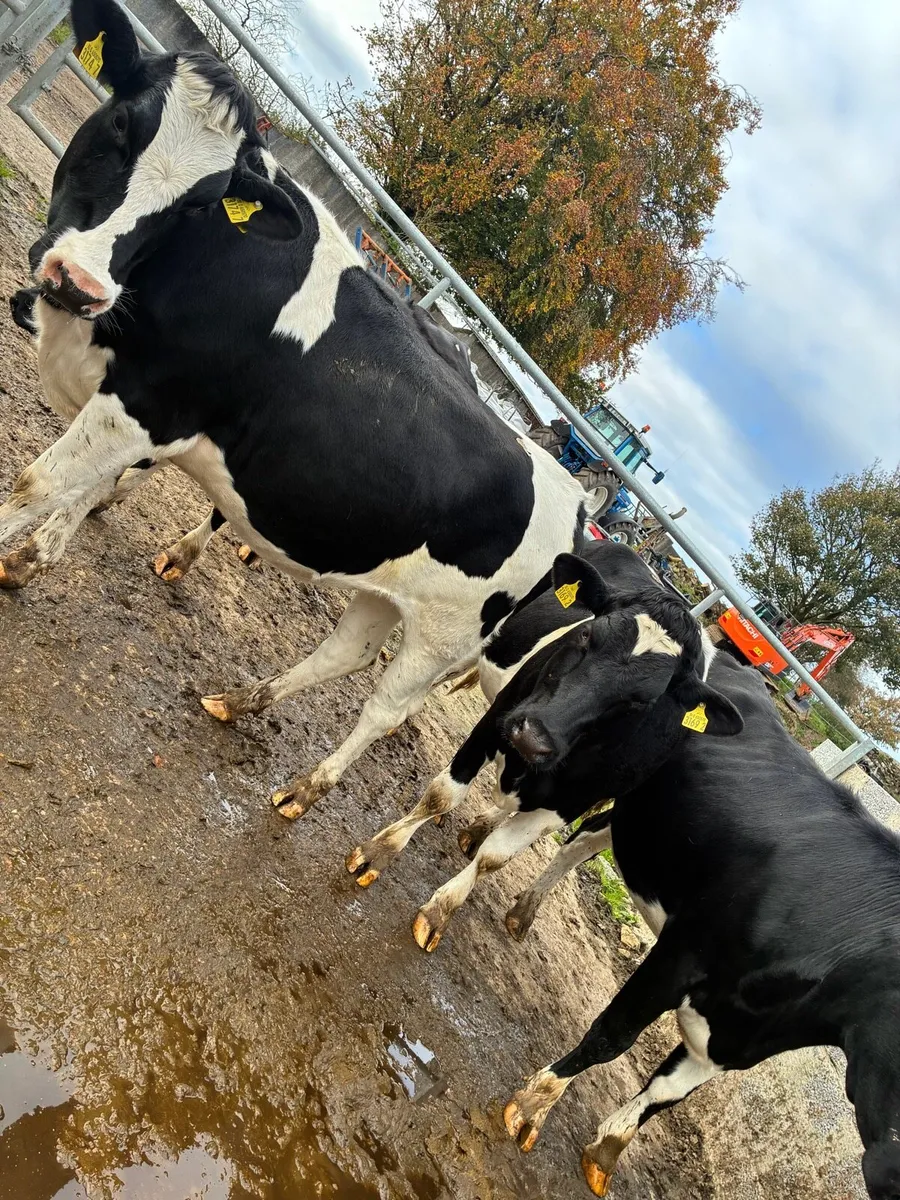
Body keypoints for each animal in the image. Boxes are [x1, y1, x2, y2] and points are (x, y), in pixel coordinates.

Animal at [0, 0, 585, 816]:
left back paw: (309, 791)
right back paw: (242, 701)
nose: (77, 281)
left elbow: (42, 485)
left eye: (204, 201)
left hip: (446, 638)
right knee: (346, 652)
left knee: (385, 708)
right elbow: (82, 490)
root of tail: (575, 493)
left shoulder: (150, 404)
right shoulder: (133, 410)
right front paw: (35, 559)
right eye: (121, 124)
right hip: (388, 592)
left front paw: (21, 550)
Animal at [345, 544, 735, 952]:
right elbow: (442, 795)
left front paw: (442, 909)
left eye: (644, 701)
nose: (533, 735)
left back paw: (480, 828)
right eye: (587, 635)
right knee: (443, 673)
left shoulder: (570, 804)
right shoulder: (497, 719)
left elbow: (496, 856)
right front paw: (379, 852)